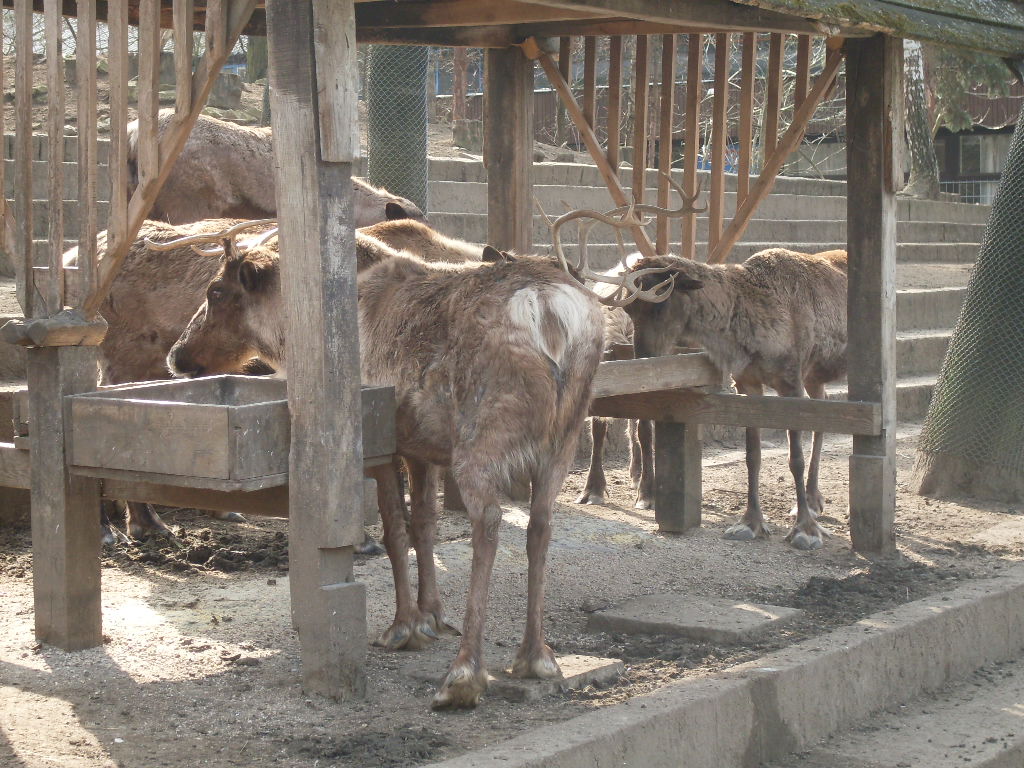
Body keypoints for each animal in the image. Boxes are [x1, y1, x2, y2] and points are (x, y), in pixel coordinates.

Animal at [165, 225, 672, 708]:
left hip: (481, 437)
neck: (292, 337)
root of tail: (549, 311)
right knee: (541, 524)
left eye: (216, 291)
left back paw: (465, 673)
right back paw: (535, 657)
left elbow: (395, 530)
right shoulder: (422, 448)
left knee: (489, 523)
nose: (177, 355)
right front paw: (433, 615)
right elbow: (425, 524)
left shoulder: (380, 444)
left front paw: (404, 626)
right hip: (562, 439)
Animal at [550, 192, 847, 551]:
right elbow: (752, 456)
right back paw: (815, 498)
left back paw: (812, 504)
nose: (643, 357)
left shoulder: (790, 380)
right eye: (630, 308)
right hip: (814, 376)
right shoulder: (748, 382)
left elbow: (795, 457)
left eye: (661, 299)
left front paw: (805, 529)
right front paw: (750, 522)